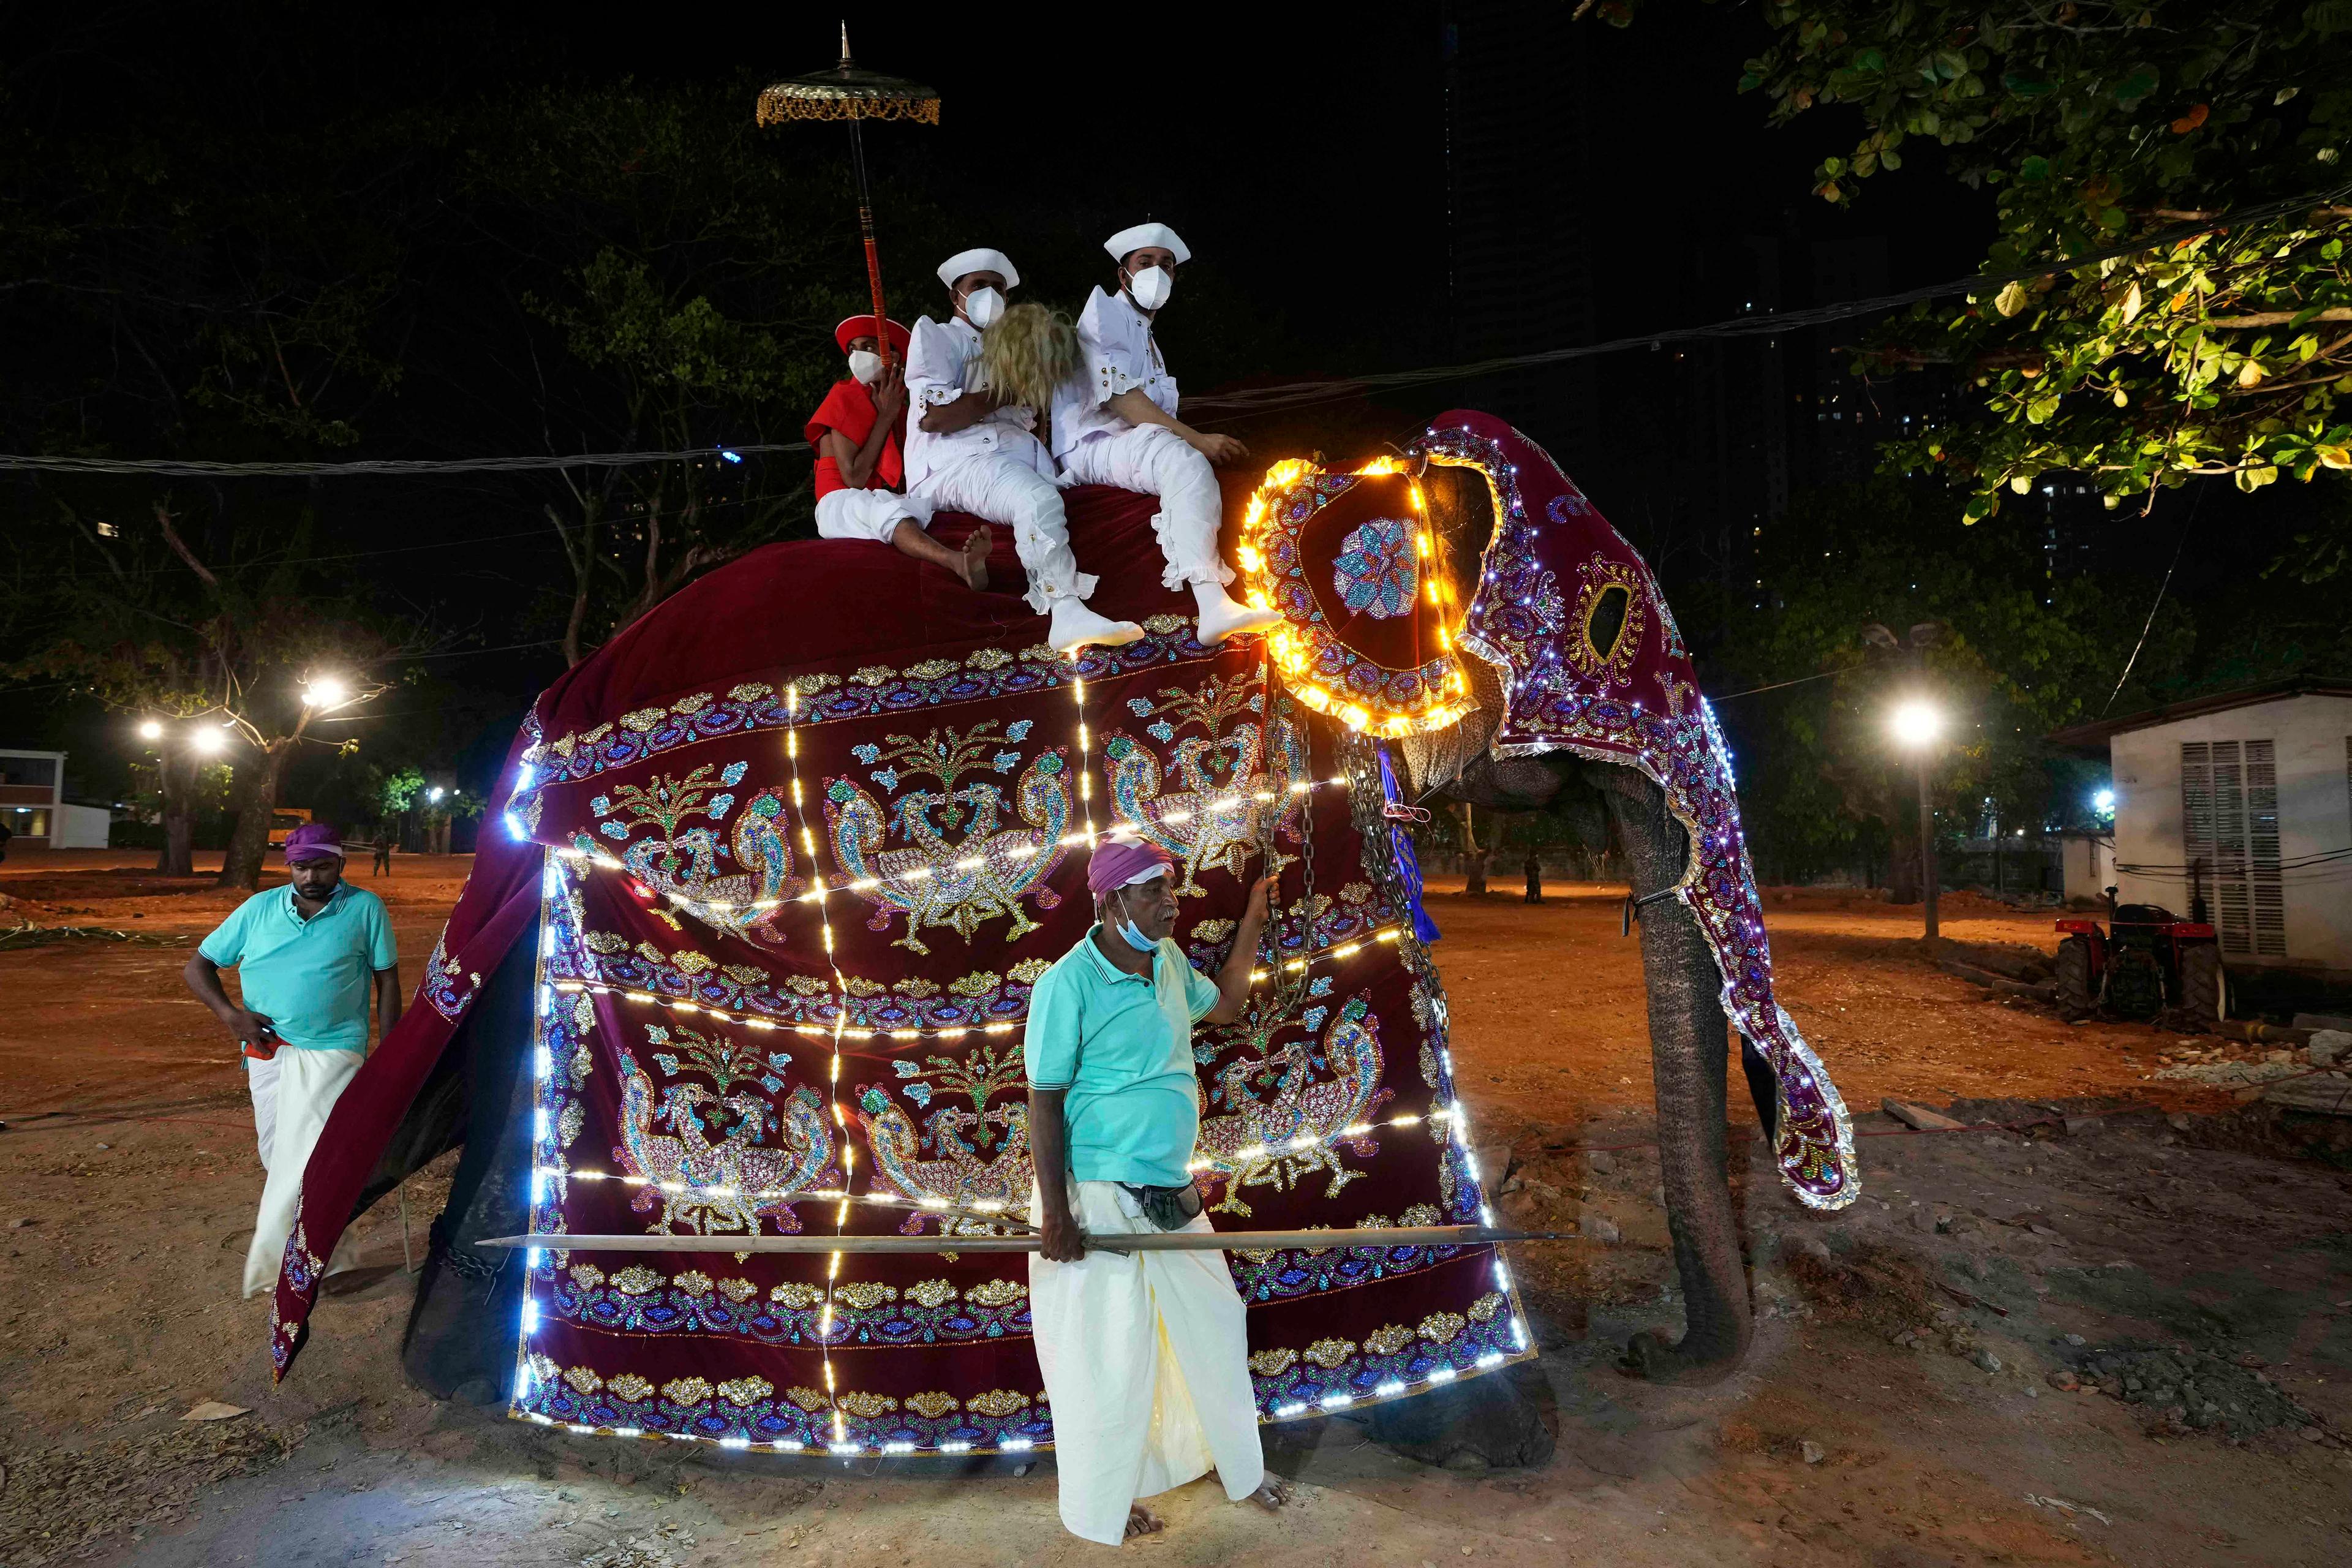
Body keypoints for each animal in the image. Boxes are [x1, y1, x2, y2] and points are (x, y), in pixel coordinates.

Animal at [266, 404, 1853, 1457]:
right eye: (1604, 620)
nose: (1644, 1348)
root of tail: (543, 714)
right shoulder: (1303, 751)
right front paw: (1494, 1421)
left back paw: (479, 1375)